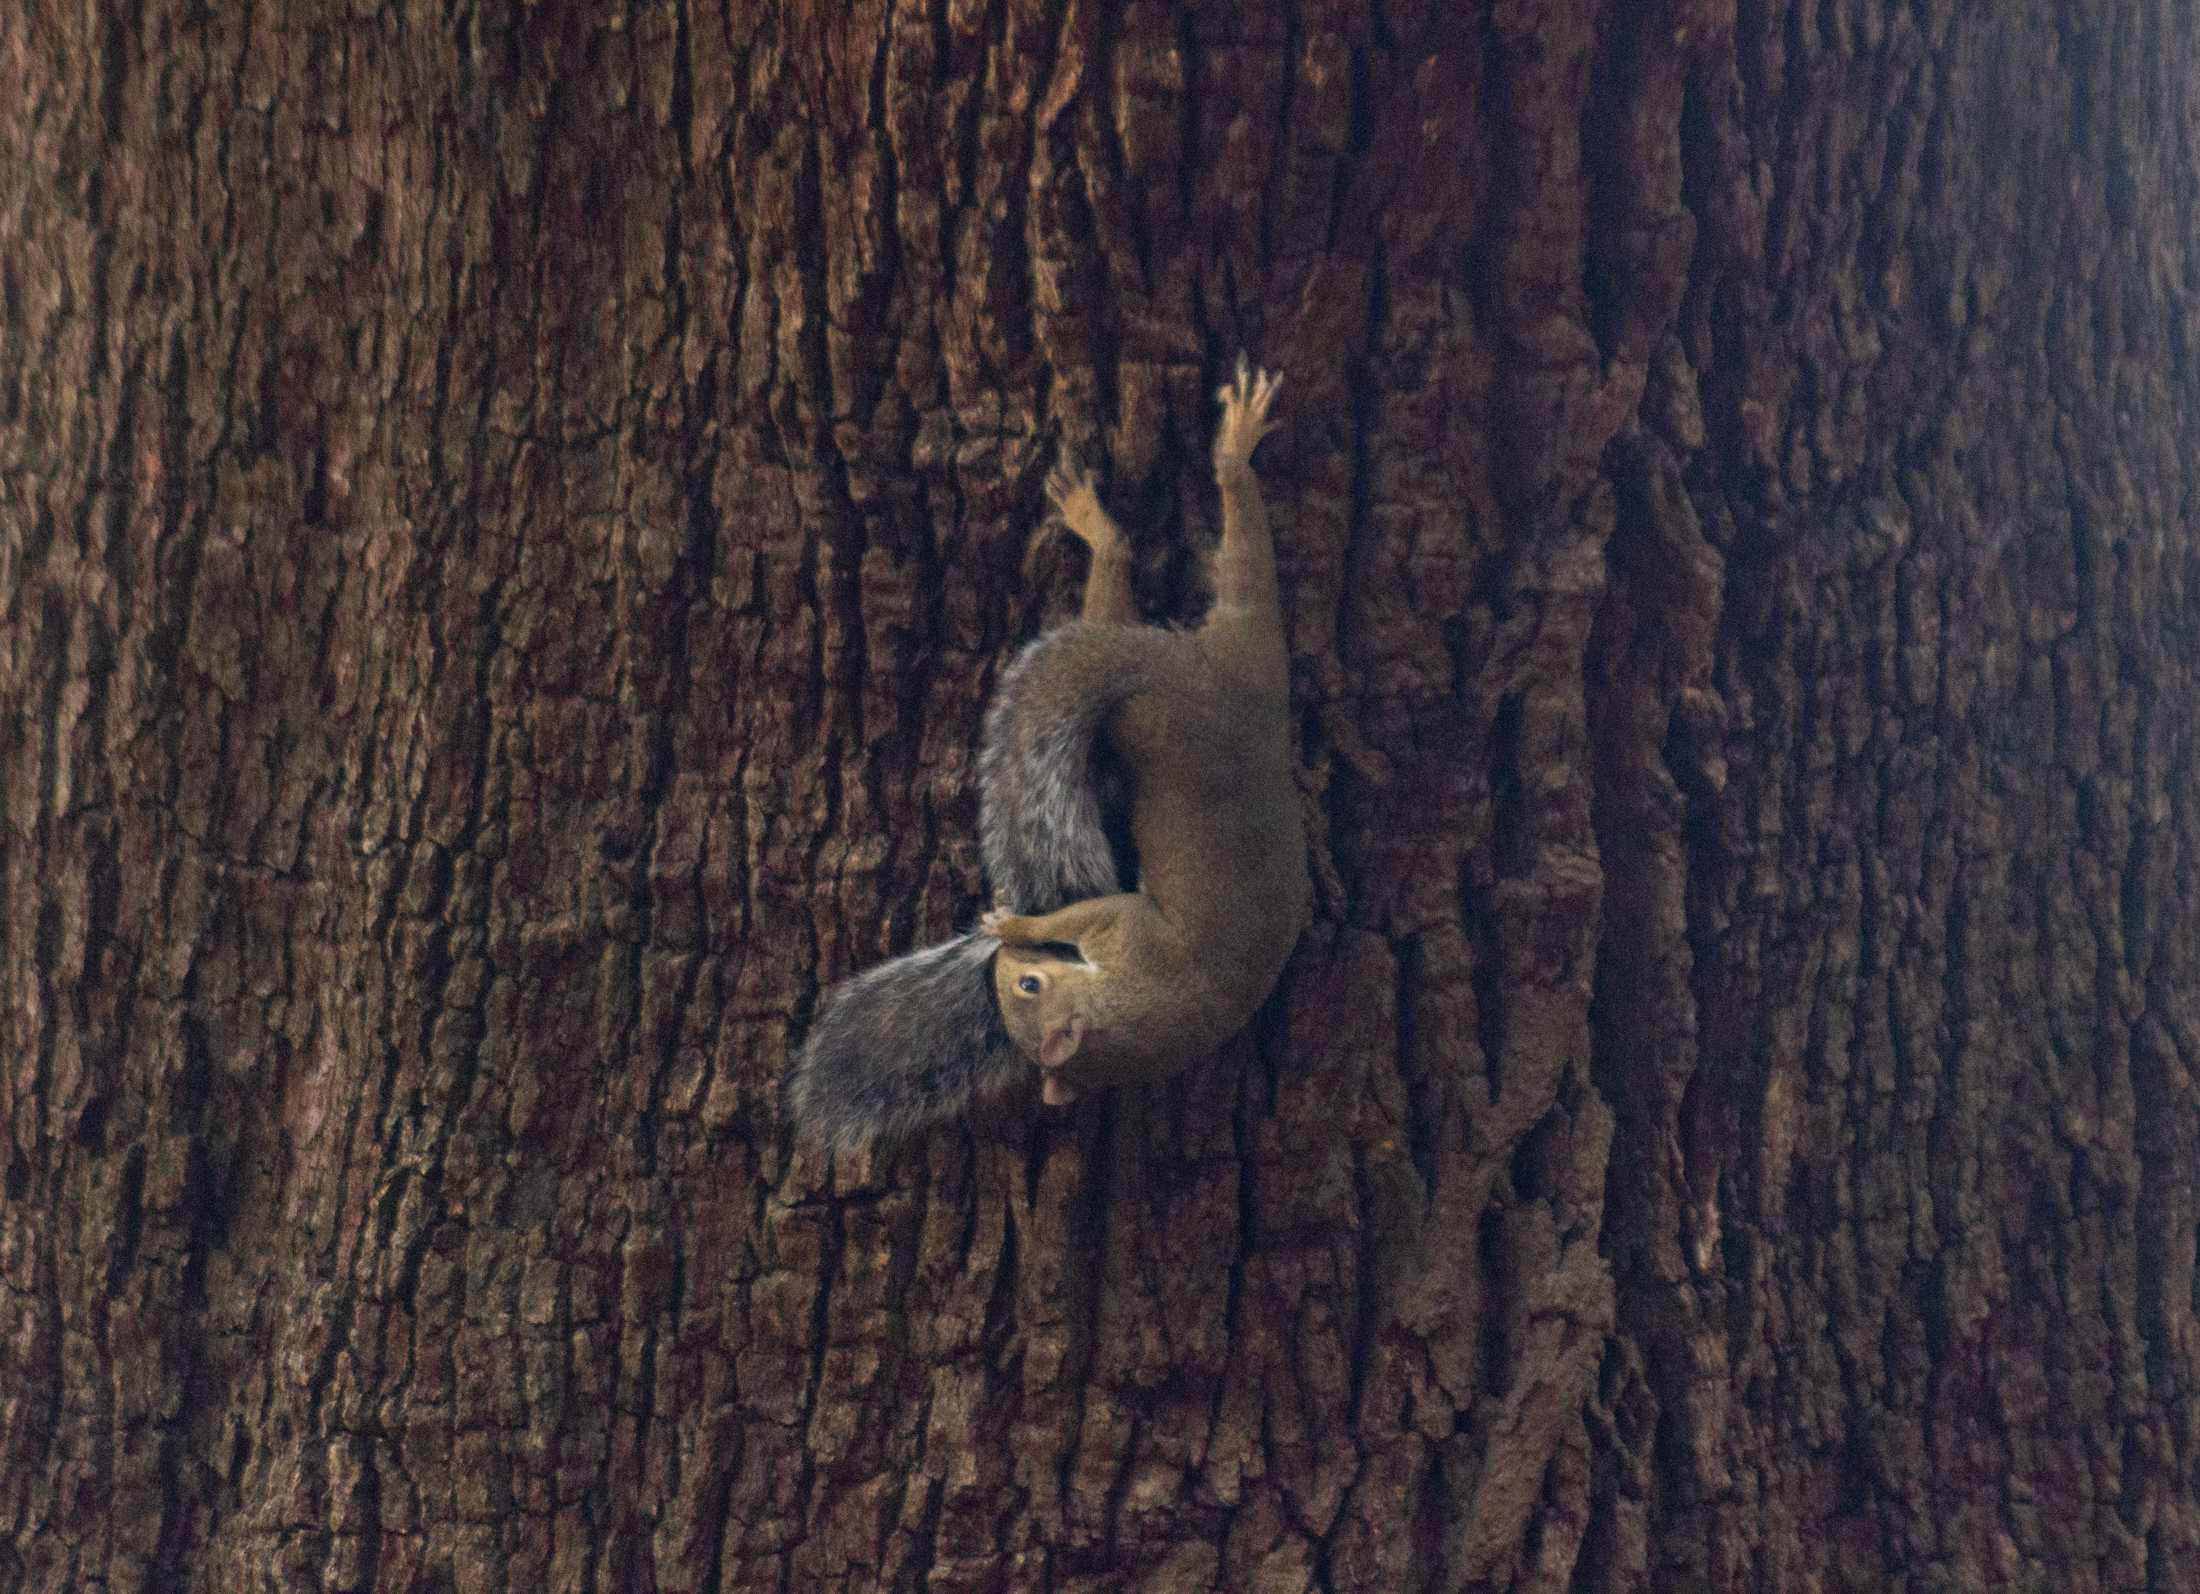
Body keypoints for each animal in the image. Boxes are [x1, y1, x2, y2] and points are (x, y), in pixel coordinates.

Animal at [787, 358, 1302, 1160]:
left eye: (1027, 992)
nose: (1000, 968)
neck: (1155, 1006)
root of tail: (1180, 678)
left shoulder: (1125, 929)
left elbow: (1083, 913)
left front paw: (1012, 927)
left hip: (1159, 715)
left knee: (1188, 572)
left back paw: (1186, 476)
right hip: (1244, 654)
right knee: (1230, 564)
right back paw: (1215, 460)